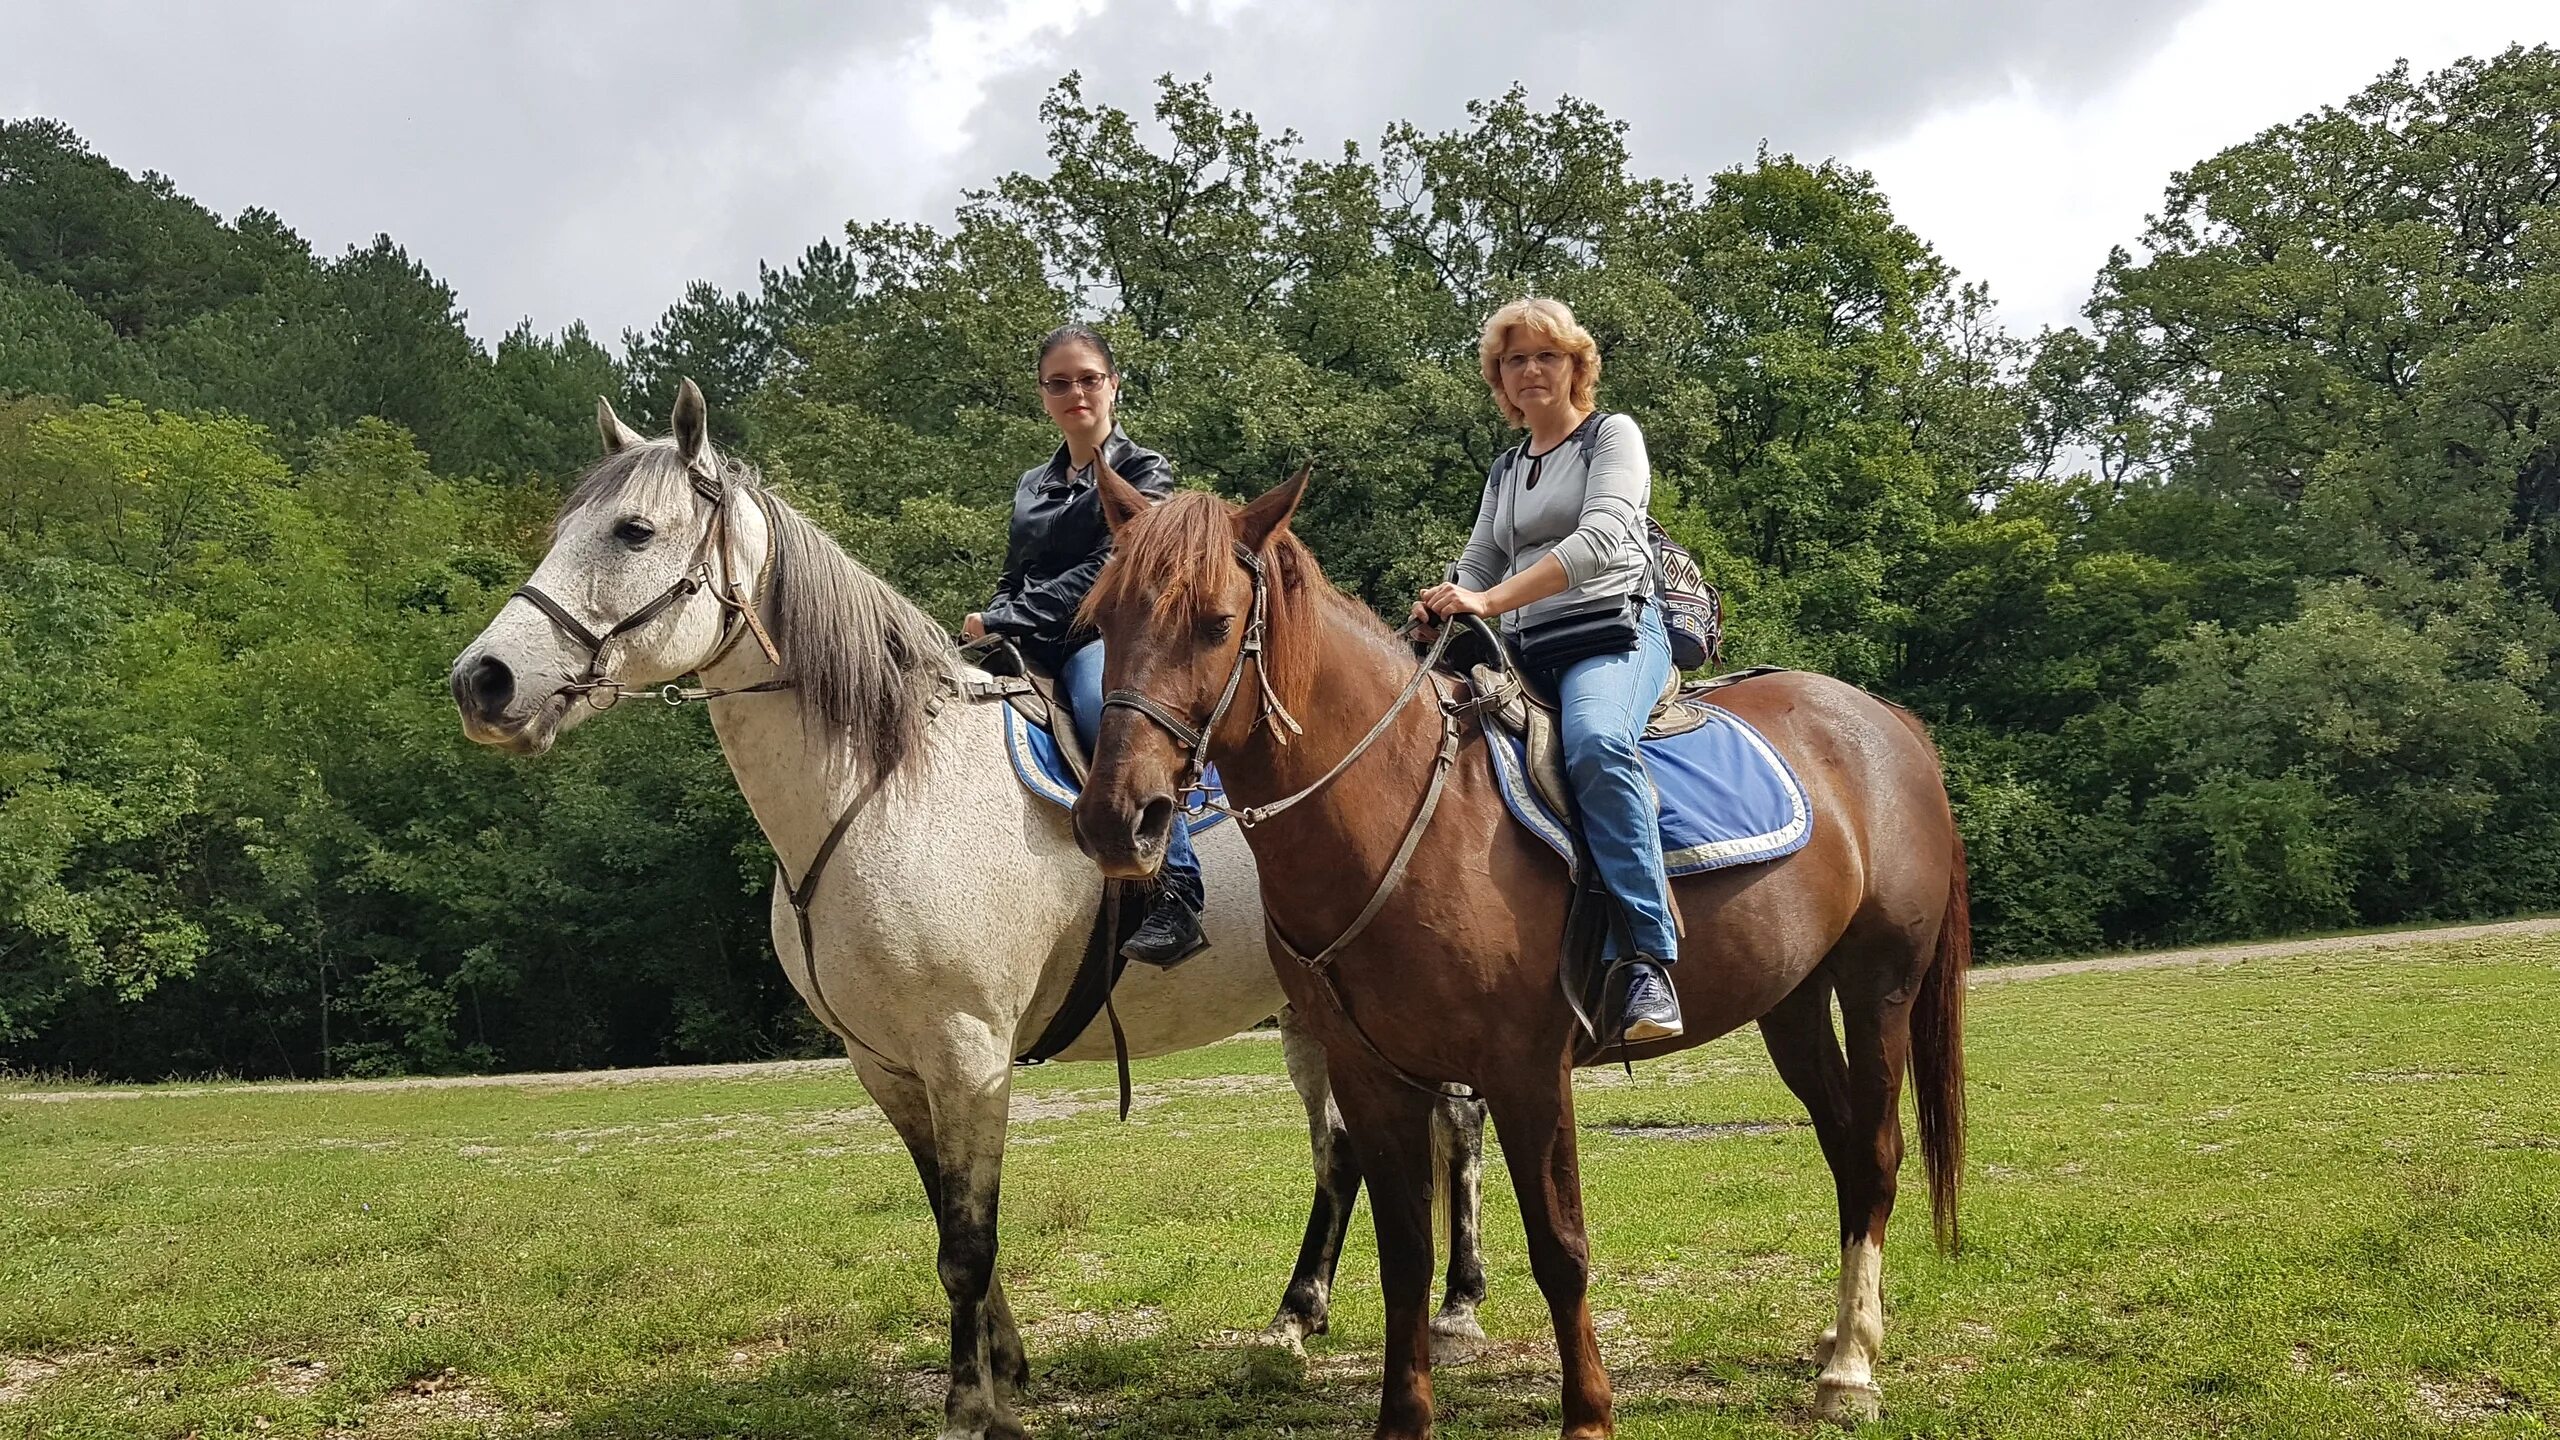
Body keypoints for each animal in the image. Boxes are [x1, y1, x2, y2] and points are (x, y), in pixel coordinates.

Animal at [453, 381, 1495, 1434]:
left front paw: (970, 1406)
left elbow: (967, 1241)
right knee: (1341, 1151)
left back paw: (1456, 1307)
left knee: (1454, 1129)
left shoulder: (968, 1050)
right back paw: (1295, 1316)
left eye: (633, 531)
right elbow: (950, 1225)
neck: (882, 790)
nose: (481, 680)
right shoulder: (890, 1066)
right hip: (1307, 1017)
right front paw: (1006, 1365)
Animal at [1070, 466, 1966, 1424]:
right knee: (1843, 1147)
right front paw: (1404, 1416)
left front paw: (1588, 1413)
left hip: (1879, 986)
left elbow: (1560, 1248)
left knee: (1876, 1152)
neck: (1404, 814)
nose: (1116, 819)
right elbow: (1404, 1260)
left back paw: (1852, 1370)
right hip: (1792, 1001)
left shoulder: (1527, 1070)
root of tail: (1888, 721)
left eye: (1215, 622)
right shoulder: (1373, 1076)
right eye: (1104, 621)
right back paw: (1838, 1338)